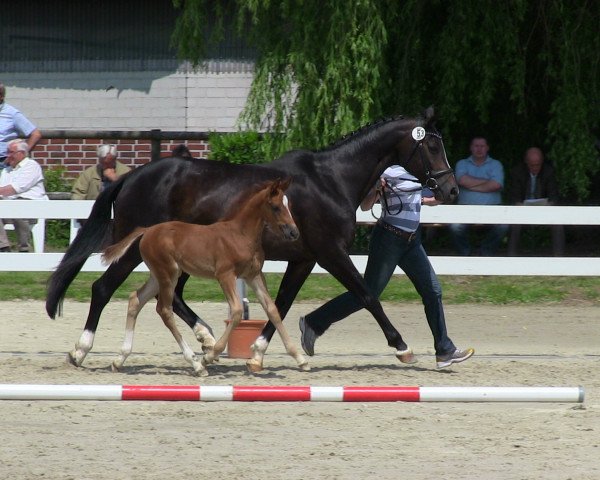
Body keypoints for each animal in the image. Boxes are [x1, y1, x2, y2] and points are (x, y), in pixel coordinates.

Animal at [102, 178, 310, 376]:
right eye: (275, 207)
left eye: (288, 205)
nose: (294, 232)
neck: (241, 235)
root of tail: (148, 230)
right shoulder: (225, 275)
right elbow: (236, 311)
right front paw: (208, 357)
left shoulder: (253, 275)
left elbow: (272, 310)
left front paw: (300, 358)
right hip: (168, 275)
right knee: (165, 310)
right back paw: (196, 364)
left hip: (159, 275)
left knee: (135, 300)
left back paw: (119, 360)